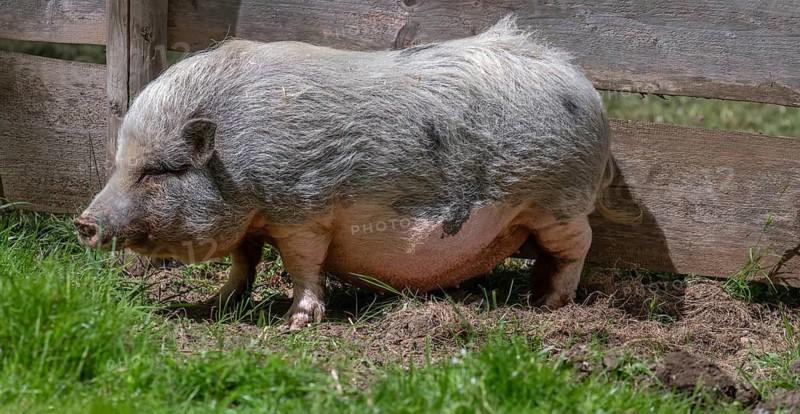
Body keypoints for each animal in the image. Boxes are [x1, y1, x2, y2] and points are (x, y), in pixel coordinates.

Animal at [74, 17, 625, 329]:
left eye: (160, 170)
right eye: (121, 164)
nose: (83, 222)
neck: (237, 163)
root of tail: (583, 85)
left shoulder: (302, 210)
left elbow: (301, 264)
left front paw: (296, 324)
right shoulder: (254, 221)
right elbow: (243, 261)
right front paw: (216, 304)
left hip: (558, 202)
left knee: (579, 245)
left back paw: (549, 306)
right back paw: (535, 295)